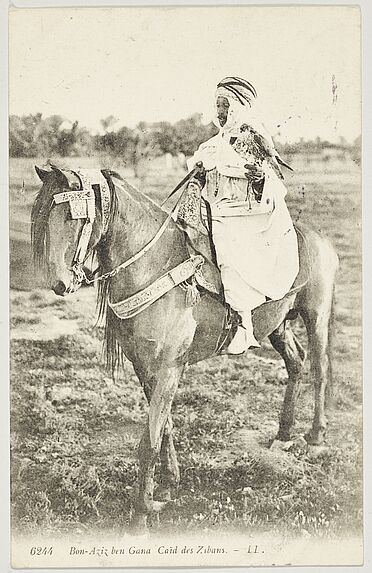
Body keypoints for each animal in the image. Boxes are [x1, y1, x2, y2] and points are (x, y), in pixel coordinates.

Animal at [32, 164, 340, 528]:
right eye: (41, 215)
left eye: (71, 216)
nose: (59, 283)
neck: (155, 267)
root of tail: (318, 237)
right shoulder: (145, 368)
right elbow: (163, 427)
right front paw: (167, 486)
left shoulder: (168, 368)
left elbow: (149, 440)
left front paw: (141, 514)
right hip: (277, 324)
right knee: (296, 362)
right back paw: (283, 435)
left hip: (316, 314)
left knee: (320, 368)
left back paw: (315, 436)